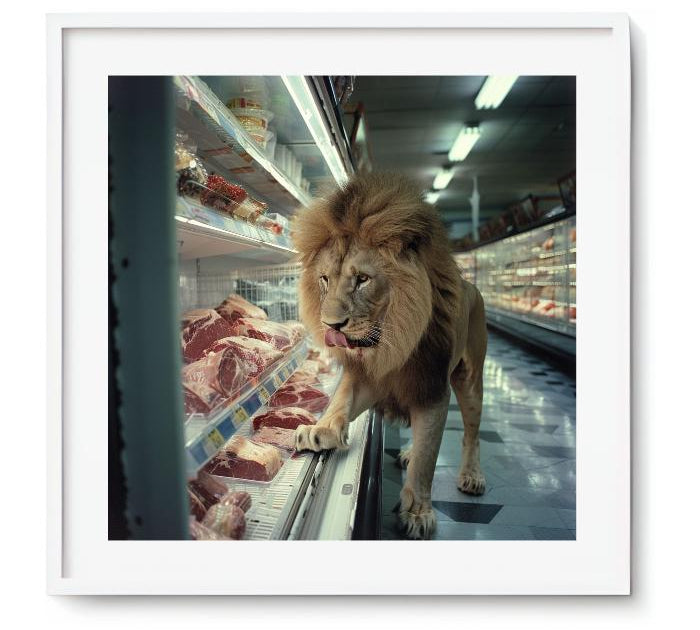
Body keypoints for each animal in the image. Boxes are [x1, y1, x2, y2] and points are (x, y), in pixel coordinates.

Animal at [291, 172, 487, 539]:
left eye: (362, 279)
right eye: (324, 279)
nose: (331, 326)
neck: (392, 345)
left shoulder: (432, 387)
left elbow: (428, 457)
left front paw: (418, 512)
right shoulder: (370, 378)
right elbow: (342, 400)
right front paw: (319, 428)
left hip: (470, 379)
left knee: (471, 432)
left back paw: (471, 475)